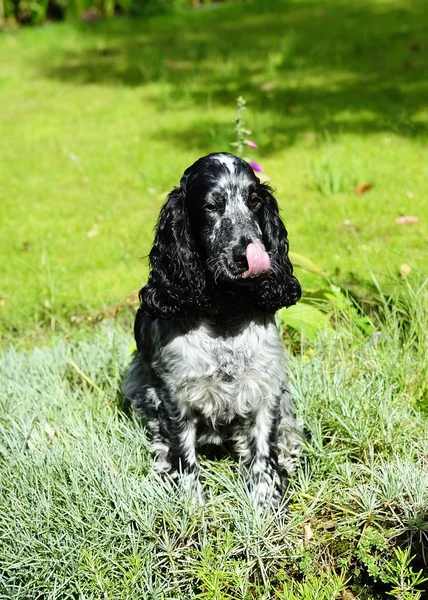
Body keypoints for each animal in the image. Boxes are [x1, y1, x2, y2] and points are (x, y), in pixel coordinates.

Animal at [123, 151, 304, 506]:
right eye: (210, 206)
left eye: (254, 201)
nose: (248, 256)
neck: (225, 311)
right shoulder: (173, 393)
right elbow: (182, 450)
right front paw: (190, 502)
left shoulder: (267, 384)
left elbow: (265, 449)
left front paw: (265, 503)